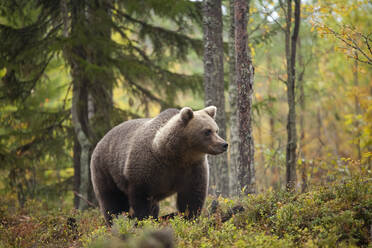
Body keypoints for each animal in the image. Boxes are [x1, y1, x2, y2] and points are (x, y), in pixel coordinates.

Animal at [91, 105, 228, 226]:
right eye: (207, 131)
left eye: (216, 130)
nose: (224, 144)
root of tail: (102, 139)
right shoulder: (145, 171)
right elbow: (141, 198)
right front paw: (143, 220)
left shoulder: (192, 168)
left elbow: (192, 196)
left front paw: (189, 218)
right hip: (105, 169)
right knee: (112, 200)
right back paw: (115, 222)